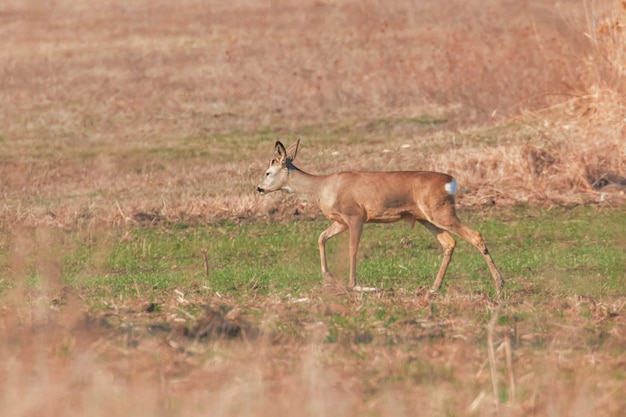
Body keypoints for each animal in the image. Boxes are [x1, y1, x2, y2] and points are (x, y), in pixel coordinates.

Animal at [254, 141, 502, 300]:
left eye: (268, 172)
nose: (258, 188)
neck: (322, 187)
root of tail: (451, 181)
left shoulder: (355, 215)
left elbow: (352, 249)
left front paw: (352, 284)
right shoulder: (341, 221)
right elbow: (321, 237)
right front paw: (328, 277)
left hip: (441, 212)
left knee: (475, 235)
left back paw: (500, 285)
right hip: (427, 218)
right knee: (449, 243)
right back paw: (433, 289)